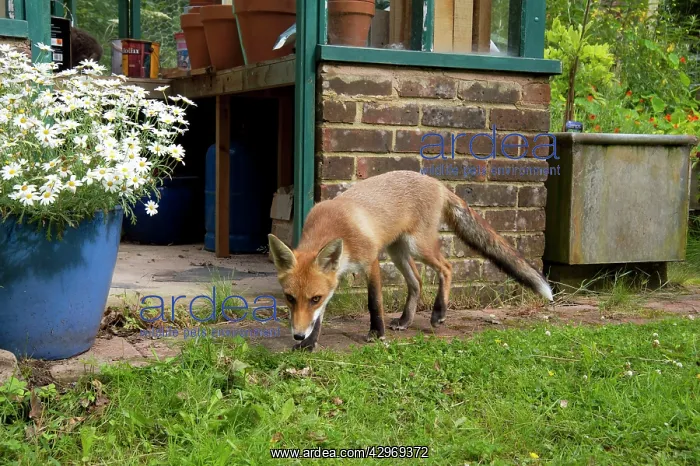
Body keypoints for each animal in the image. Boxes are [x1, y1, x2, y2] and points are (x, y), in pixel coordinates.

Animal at [268, 170, 553, 351]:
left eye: (313, 298)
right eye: (290, 298)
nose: (297, 334)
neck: (336, 228)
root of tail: (437, 182)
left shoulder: (371, 262)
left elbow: (374, 302)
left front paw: (376, 333)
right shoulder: (333, 278)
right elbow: (319, 318)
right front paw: (309, 343)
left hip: (418, 247)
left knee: (447, 267)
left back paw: (439, 313)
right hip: (398, 251)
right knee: (416, 281)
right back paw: (405, 320)